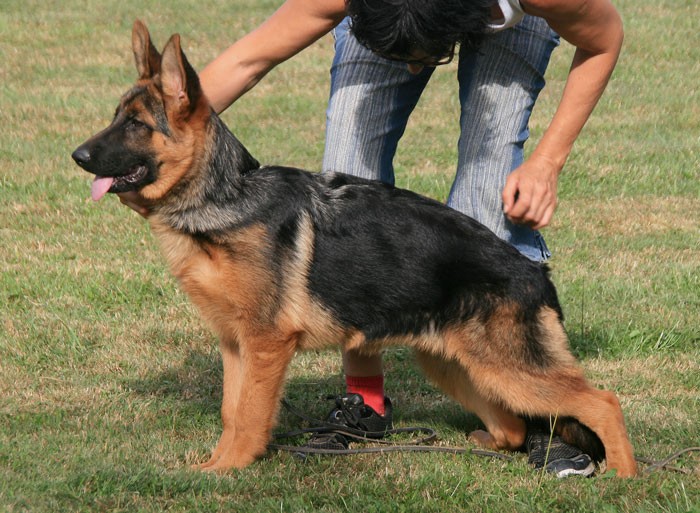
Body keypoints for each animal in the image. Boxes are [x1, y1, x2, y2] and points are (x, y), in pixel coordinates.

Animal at [74, 21, 636, 476]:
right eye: (115, 117)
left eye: (136, 125)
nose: (76, 155)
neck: (226, 196)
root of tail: (535, 273)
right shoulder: (236, 345)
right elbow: (231, 412)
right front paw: (217, 462)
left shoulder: (265, 345)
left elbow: (249, 415)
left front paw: (227, 471)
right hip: (457, 364)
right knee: (515, 427)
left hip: (511, 369)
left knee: (601, 402)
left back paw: (624, 477)